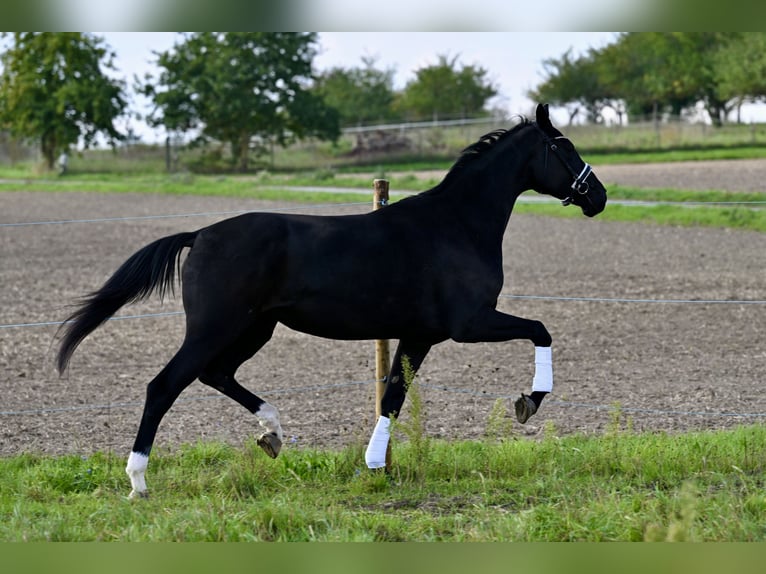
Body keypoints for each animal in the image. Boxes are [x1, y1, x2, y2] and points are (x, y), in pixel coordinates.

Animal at [56, 104, 607, 498]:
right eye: (565, 147)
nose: (598, 196)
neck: (457, 225)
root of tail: (201, 236)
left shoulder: (420, 335)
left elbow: (392, 397)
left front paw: (374, 465)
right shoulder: (469, 324)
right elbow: (540, 329)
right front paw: (528, 402)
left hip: (254, 329)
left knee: (216, 374)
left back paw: (273, 434)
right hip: (216, 327)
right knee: (164, 386)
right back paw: (139, 482)